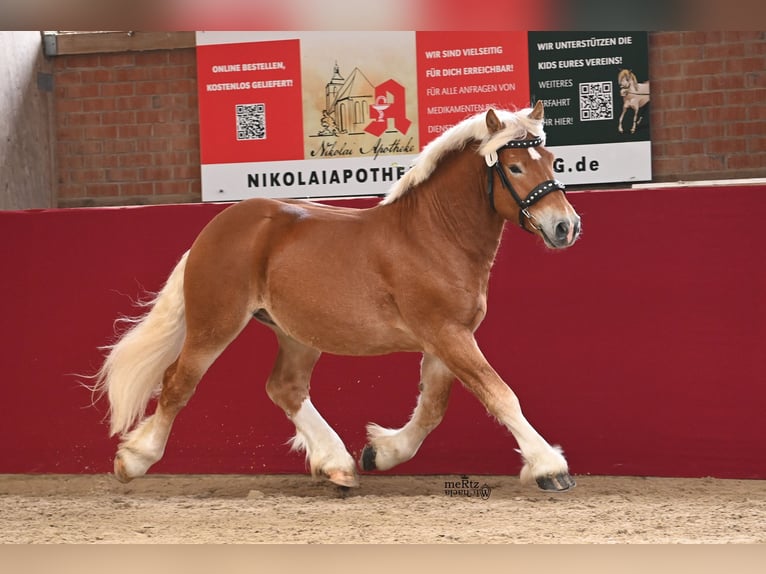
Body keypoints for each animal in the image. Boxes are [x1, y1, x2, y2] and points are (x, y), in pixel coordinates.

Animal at [96, 101, 584, 492]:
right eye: (515, 167)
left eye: (552, 160)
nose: (565, 226)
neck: (434, 235)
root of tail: (213, 230)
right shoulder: (447, 334)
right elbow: (499, 394)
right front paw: (549, 467)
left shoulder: (448, 338)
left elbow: (432, 408)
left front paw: (379, 452)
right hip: (215, 323)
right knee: (179, 381)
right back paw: (133, 460)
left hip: (297, 334)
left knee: (285, 388)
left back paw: (337, 465)